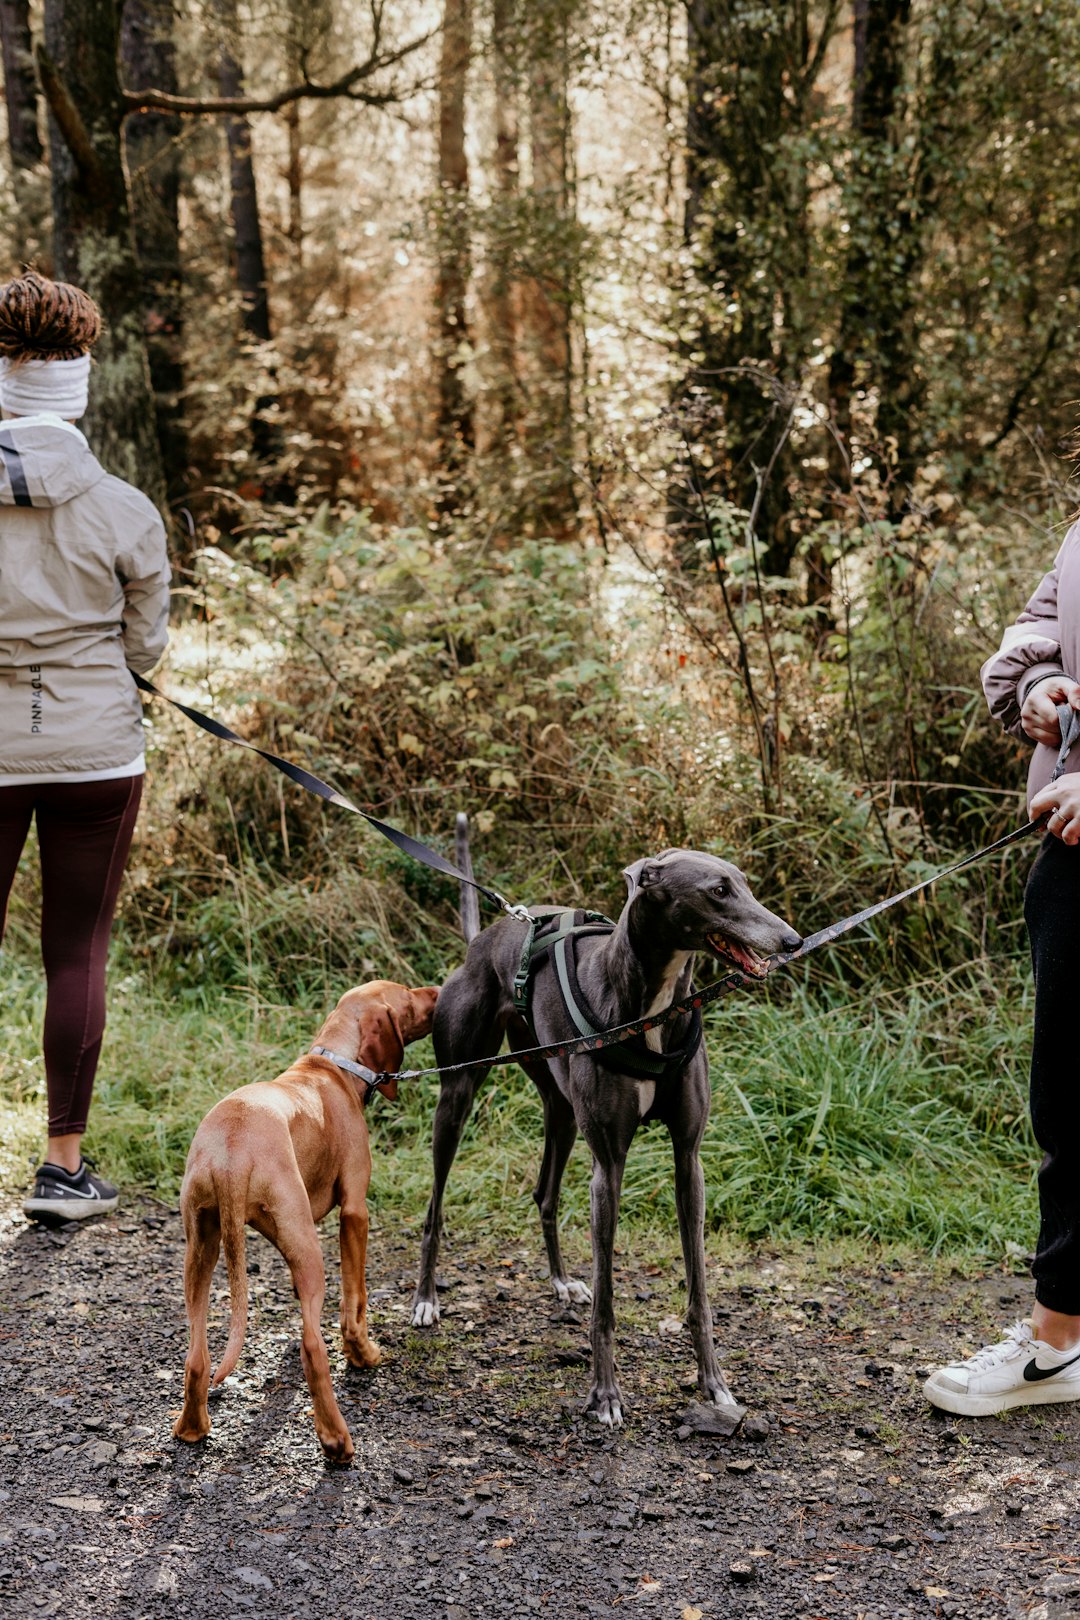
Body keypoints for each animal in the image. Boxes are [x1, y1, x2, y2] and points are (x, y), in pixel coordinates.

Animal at [173, 978, 433, 1464]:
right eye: (407, 996)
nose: (440, 991)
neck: (333, 1064)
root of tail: (231, 1153)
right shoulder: (355, 1212)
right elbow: (356, 1302)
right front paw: (362, 1352)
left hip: (202, 1247)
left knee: (197, 1355)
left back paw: (192, 1428)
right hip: (308, 1249)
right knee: (314, 1348)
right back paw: (336, 1440)